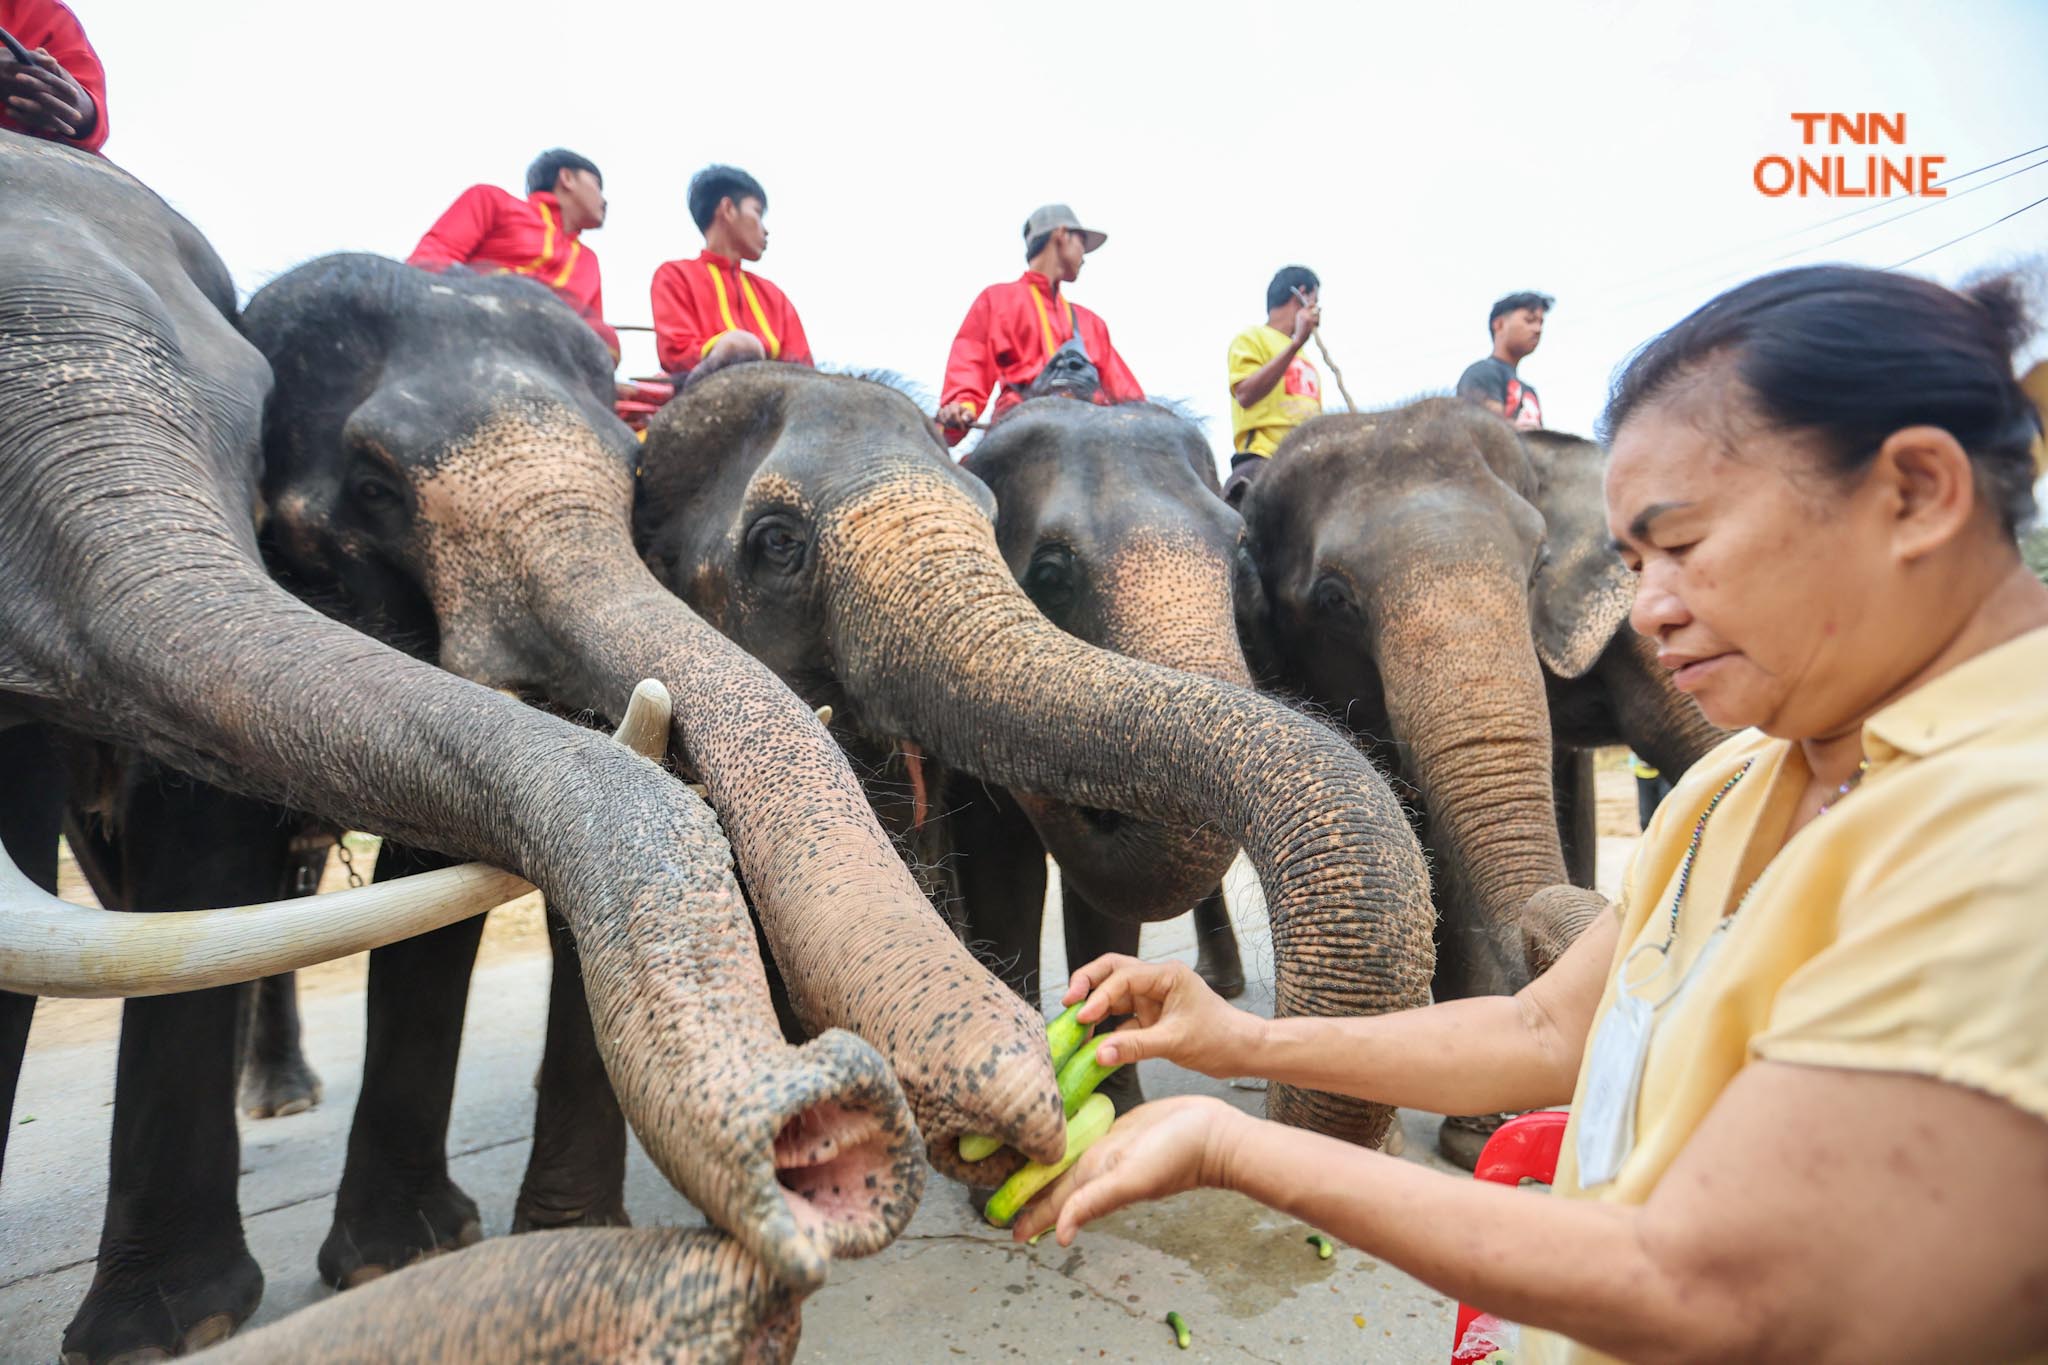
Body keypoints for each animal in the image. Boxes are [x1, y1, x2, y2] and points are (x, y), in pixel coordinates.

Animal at [0, 141, 929, 1365]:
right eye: (373, 489)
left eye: (630, 483)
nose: (820, 1109)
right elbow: (200, 857)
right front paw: (171, 1328)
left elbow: (422, 880)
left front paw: (403, 1256)